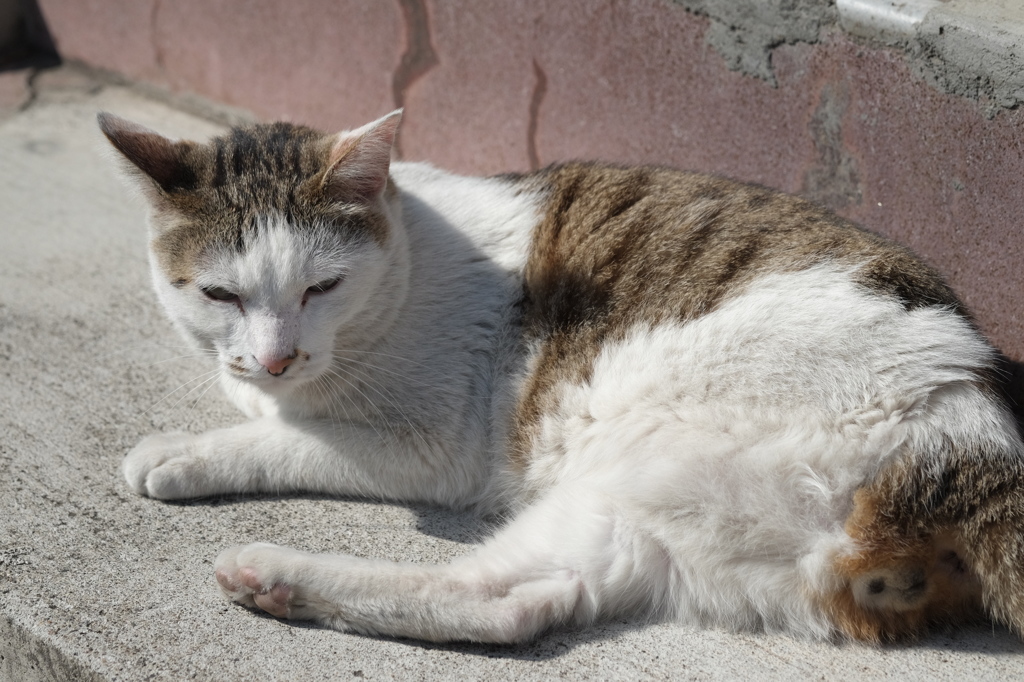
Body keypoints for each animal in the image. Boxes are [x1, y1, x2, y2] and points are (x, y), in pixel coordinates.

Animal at [99, 107, 1024, 643]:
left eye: (320, 286)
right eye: (220, 293)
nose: (278, 354)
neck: (405, 265)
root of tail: (981, 439)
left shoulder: (438, 448)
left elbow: (292, 435)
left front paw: (188, 450)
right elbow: (255, 394)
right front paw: (245, 382)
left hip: (640, 447)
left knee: (482, 586)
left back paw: (270, 571)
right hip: (677, 524)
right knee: (526, 603)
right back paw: (286, 589)